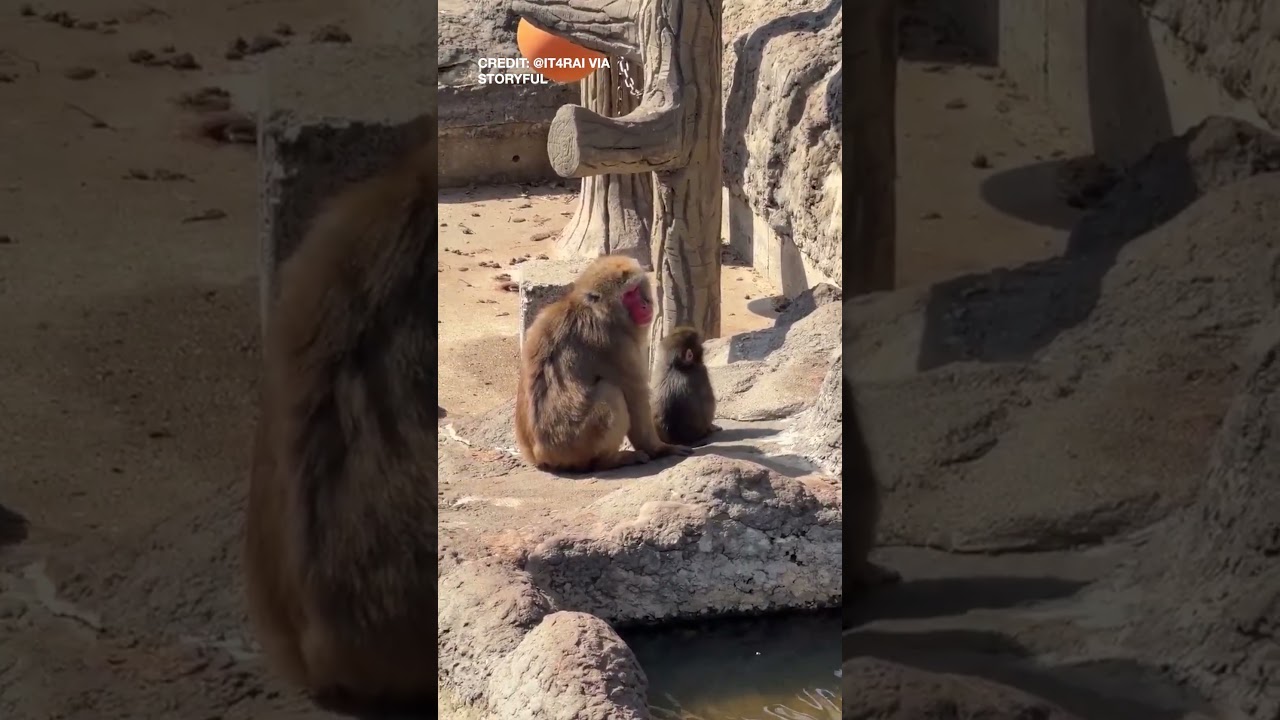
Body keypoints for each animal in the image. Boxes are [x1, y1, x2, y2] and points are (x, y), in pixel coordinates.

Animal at [515, 255, 695, 473]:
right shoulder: (616, 344)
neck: (597, 311)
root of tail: (539, 456)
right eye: (629, 295)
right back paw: (609, 461)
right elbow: (635, 397)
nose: (645, 305)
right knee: (611, 392)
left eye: (637, 289)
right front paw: (660, 449)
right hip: (575, 445)